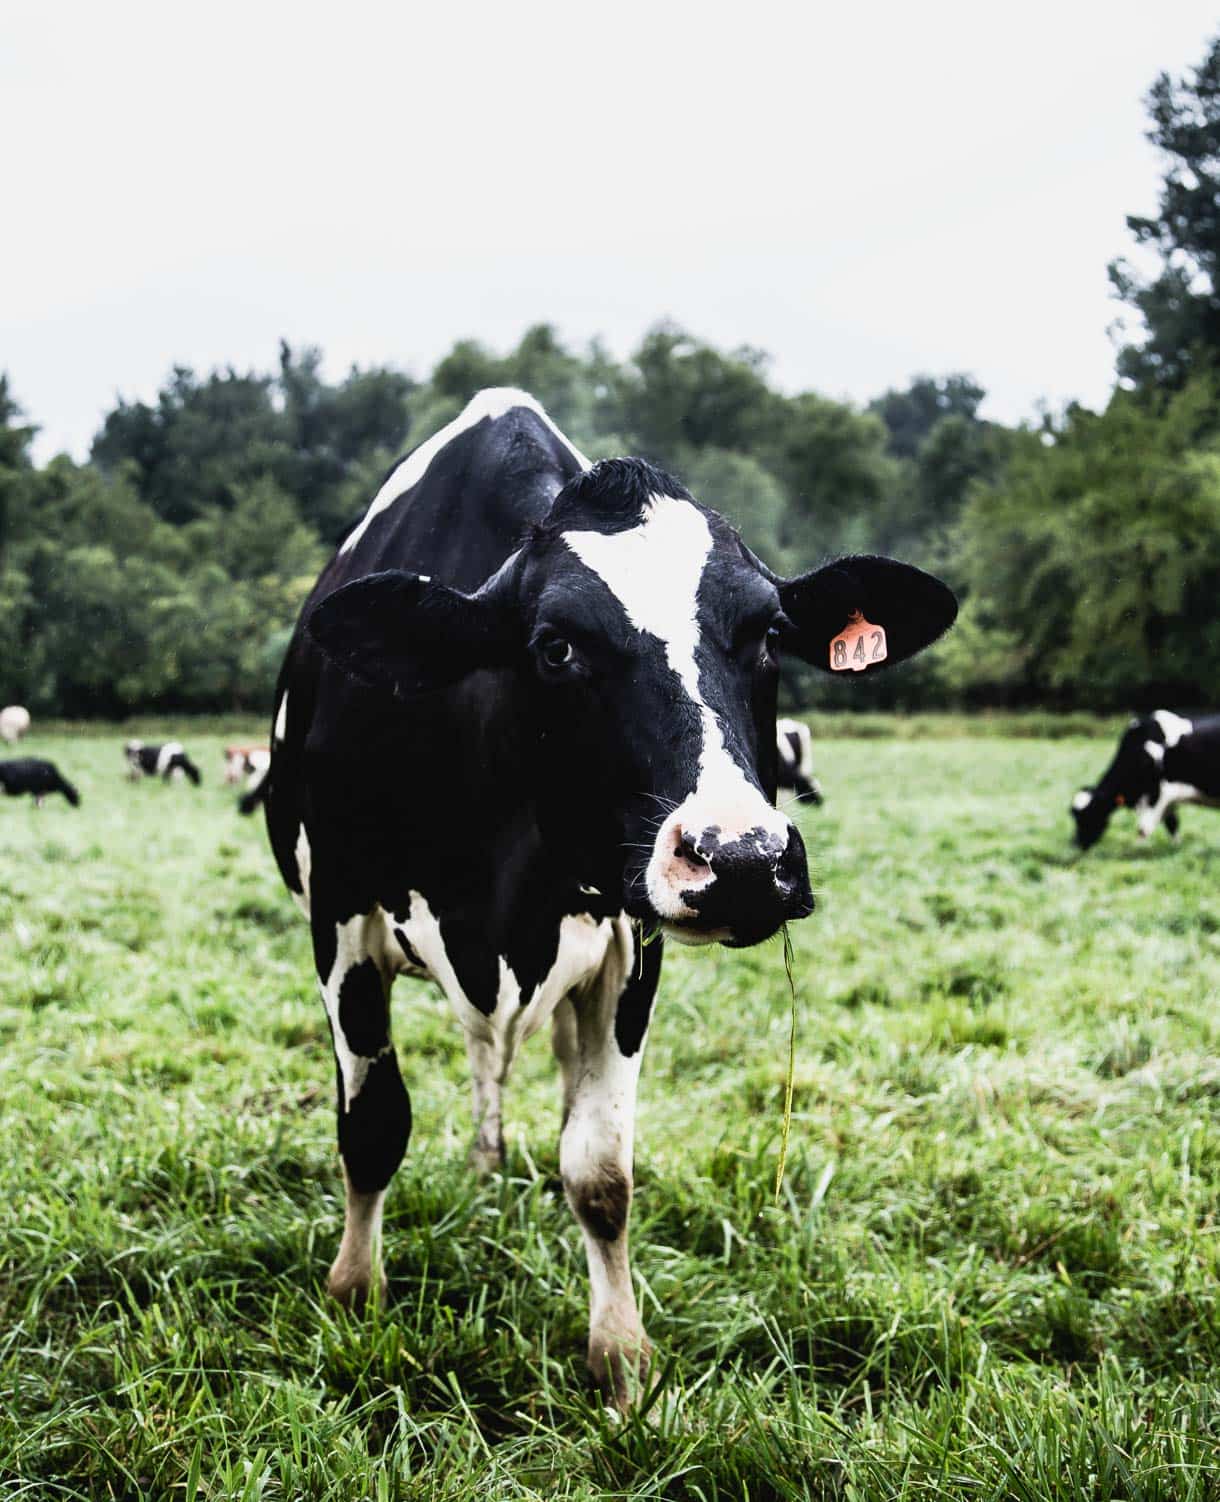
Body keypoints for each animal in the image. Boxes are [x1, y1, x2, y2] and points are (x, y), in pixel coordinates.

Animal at [256, 387, 955, 1405]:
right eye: (556, 646)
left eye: (769, 634)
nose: (742, 858)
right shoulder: (340, 920)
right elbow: (374, 1124)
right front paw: (354, 1295)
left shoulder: (632, 945)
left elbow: (600, 1169)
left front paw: (621, 1356)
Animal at [1069, 711, 1220, 853]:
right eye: (1074, 817)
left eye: (1088, 815)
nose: (1076, 845)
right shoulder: (1168, 800)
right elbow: (1172, 824)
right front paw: (1175, 848)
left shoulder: (1159, 794)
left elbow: (1143, 829)